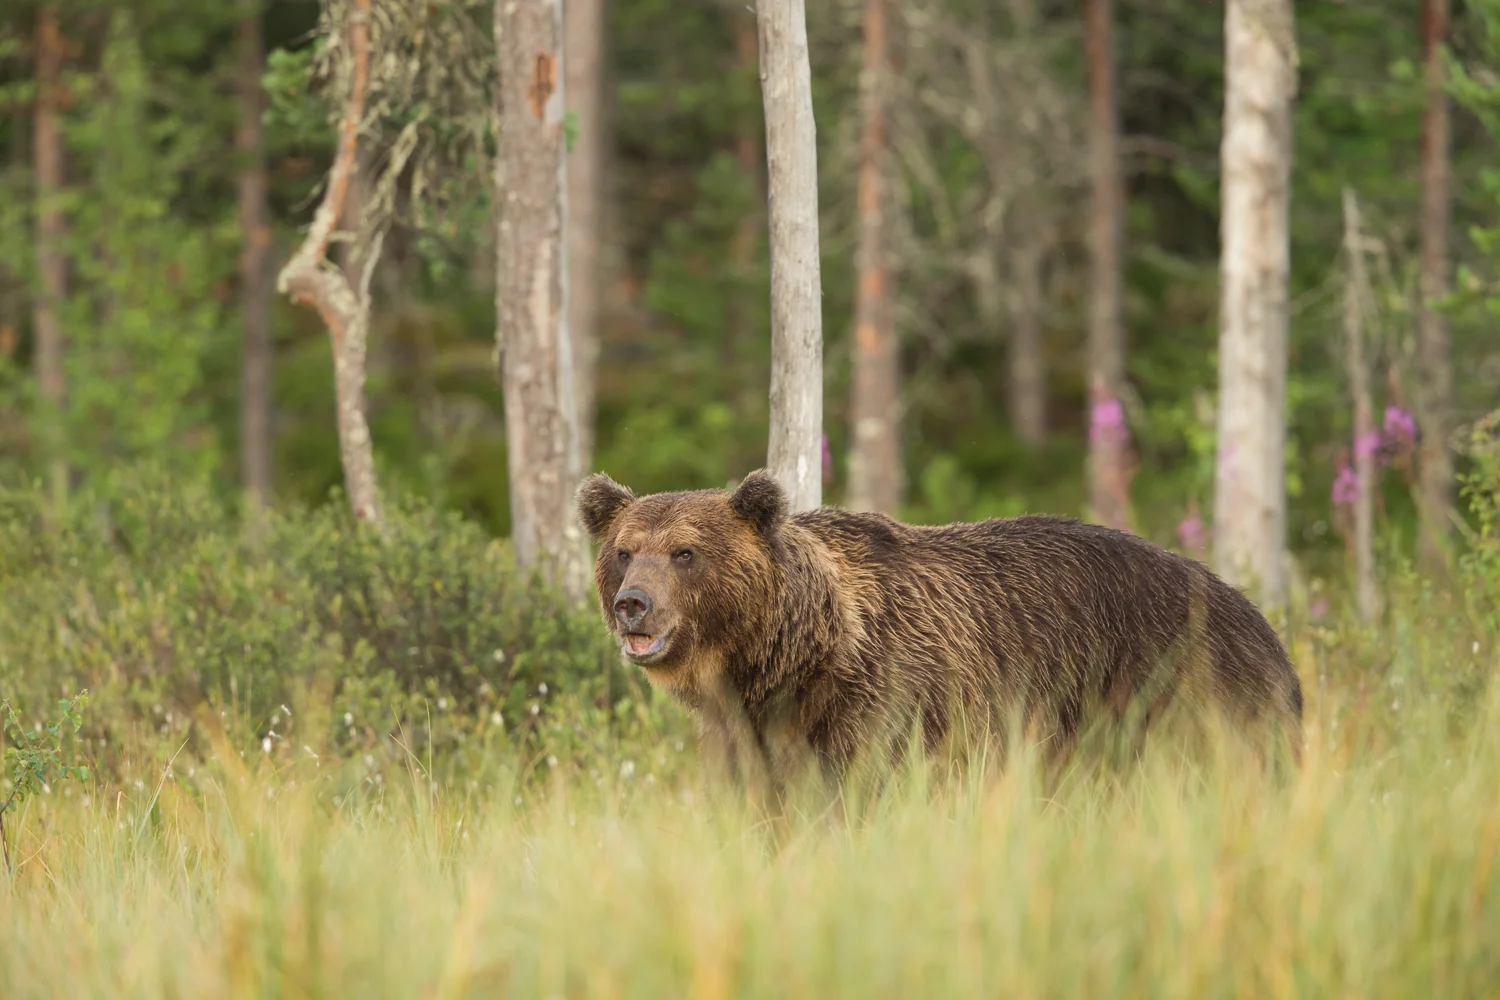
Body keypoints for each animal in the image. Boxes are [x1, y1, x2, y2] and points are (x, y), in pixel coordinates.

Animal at [573, 467, 1302, 791]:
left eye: (685, 552)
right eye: (625, 551)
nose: (633, 604)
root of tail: (1264, 626)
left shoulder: (890, 708)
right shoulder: (751, 735)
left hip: (1181, 697)